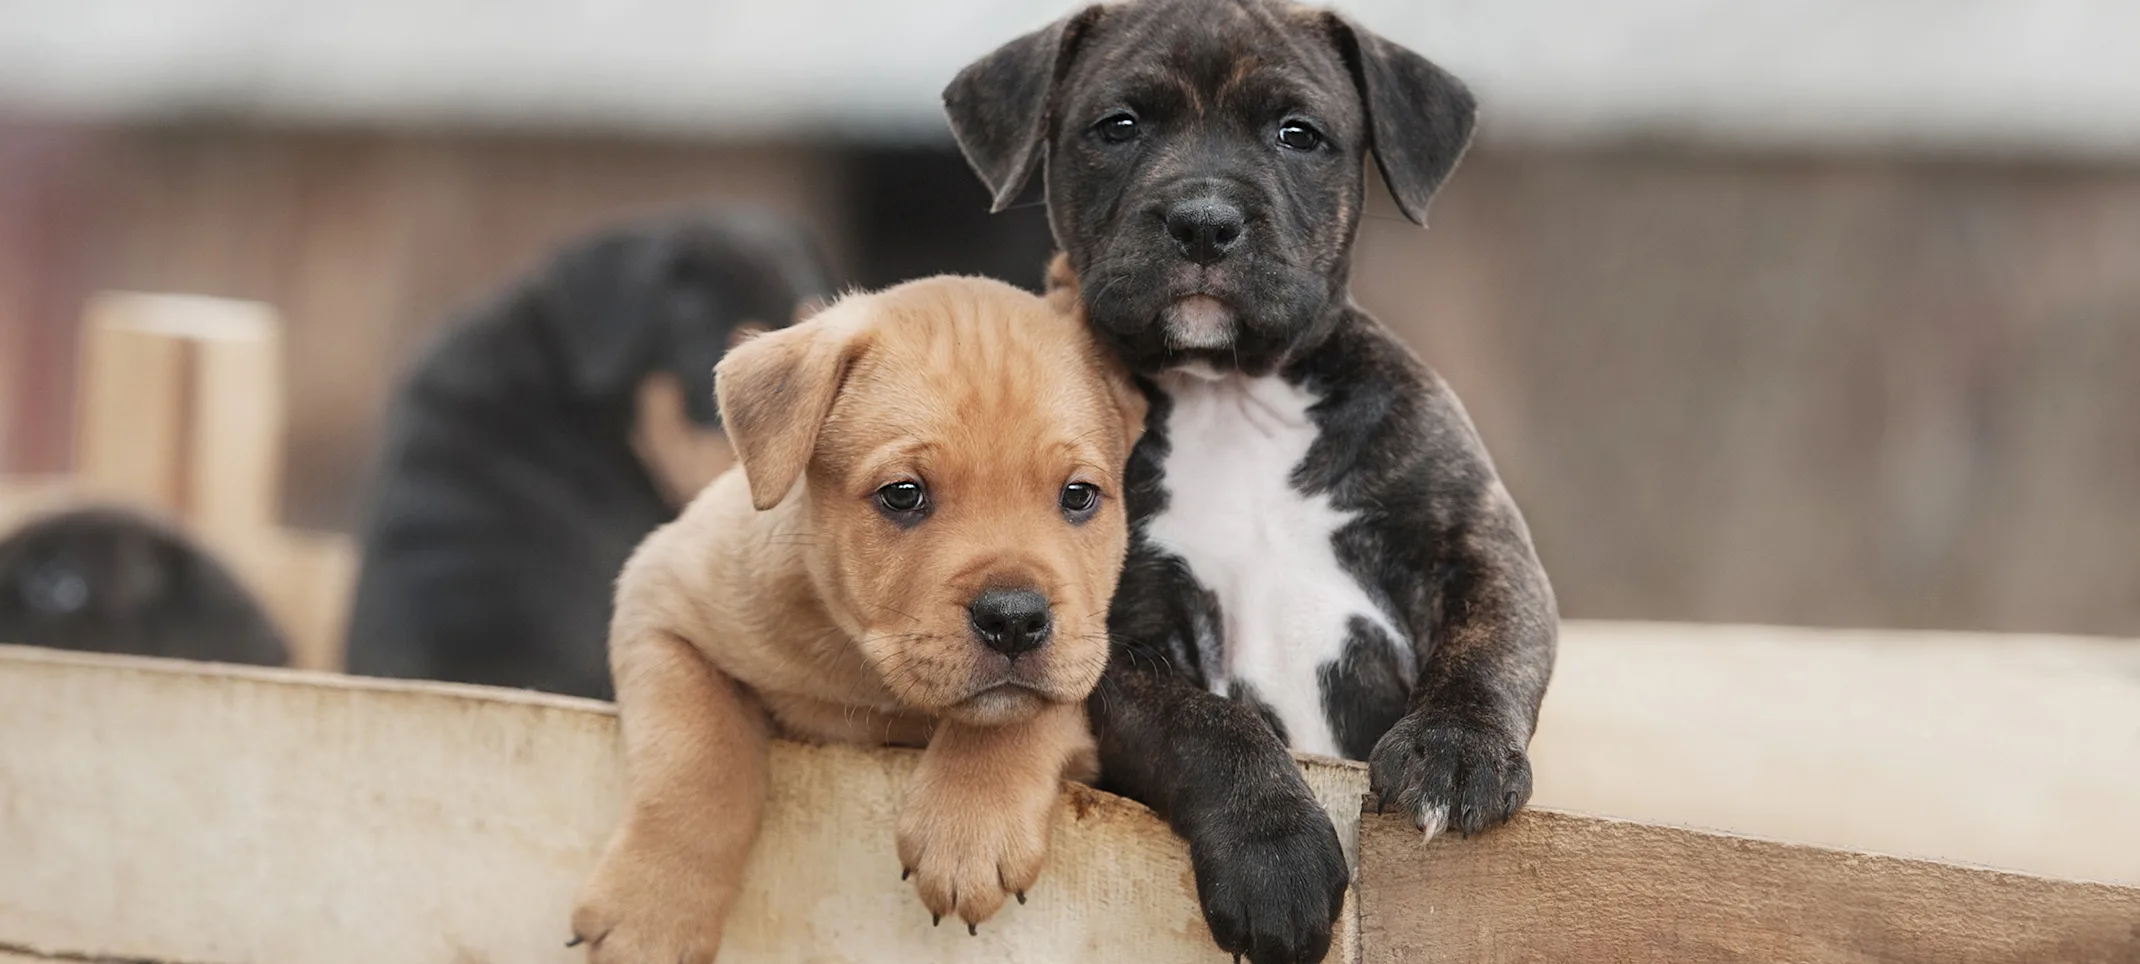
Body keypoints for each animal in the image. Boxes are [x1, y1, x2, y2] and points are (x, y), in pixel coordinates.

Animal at [564, 274, 1138, 959]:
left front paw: (968, 824)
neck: (871, 677)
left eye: (1079, 496)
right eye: (903, 494)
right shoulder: (659, 602)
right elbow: (696, 757)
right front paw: (651, 913)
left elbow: (1023, 713)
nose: (1015, 620)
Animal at [950, 3, 1557, 959]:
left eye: (1297, 134)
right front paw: (1275, 855)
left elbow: (1487, 649)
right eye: (1118, 127)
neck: (1229, 394)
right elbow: (1206, 726)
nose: (1203, 221)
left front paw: (1455, 753)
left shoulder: (1477, 547)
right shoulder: (1112, 643)